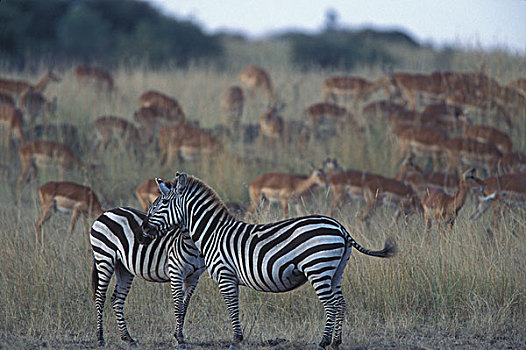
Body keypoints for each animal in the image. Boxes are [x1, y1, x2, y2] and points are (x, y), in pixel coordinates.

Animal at [91, 206, 206, 348]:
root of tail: (106, 213)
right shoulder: (176, 272)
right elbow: (179, 306)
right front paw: (179, 339)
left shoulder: (194, 277)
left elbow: (184, 306)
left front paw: (178, 335)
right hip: (104, 257)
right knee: (100, 297)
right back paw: (100, 338)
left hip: (123, 267)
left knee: (117, 299)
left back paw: (128, 338)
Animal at [140, 175, 396, 350]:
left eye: (161, 203)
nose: (143, 231)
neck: (213, 233)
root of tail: (340, 227)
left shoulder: (226, 275)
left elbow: (232, 307)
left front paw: (236, 340)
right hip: (336, 271)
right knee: (341, 303)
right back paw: (336, 342)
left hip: (318, 267)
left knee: (332, 304)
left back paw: (323, 342)